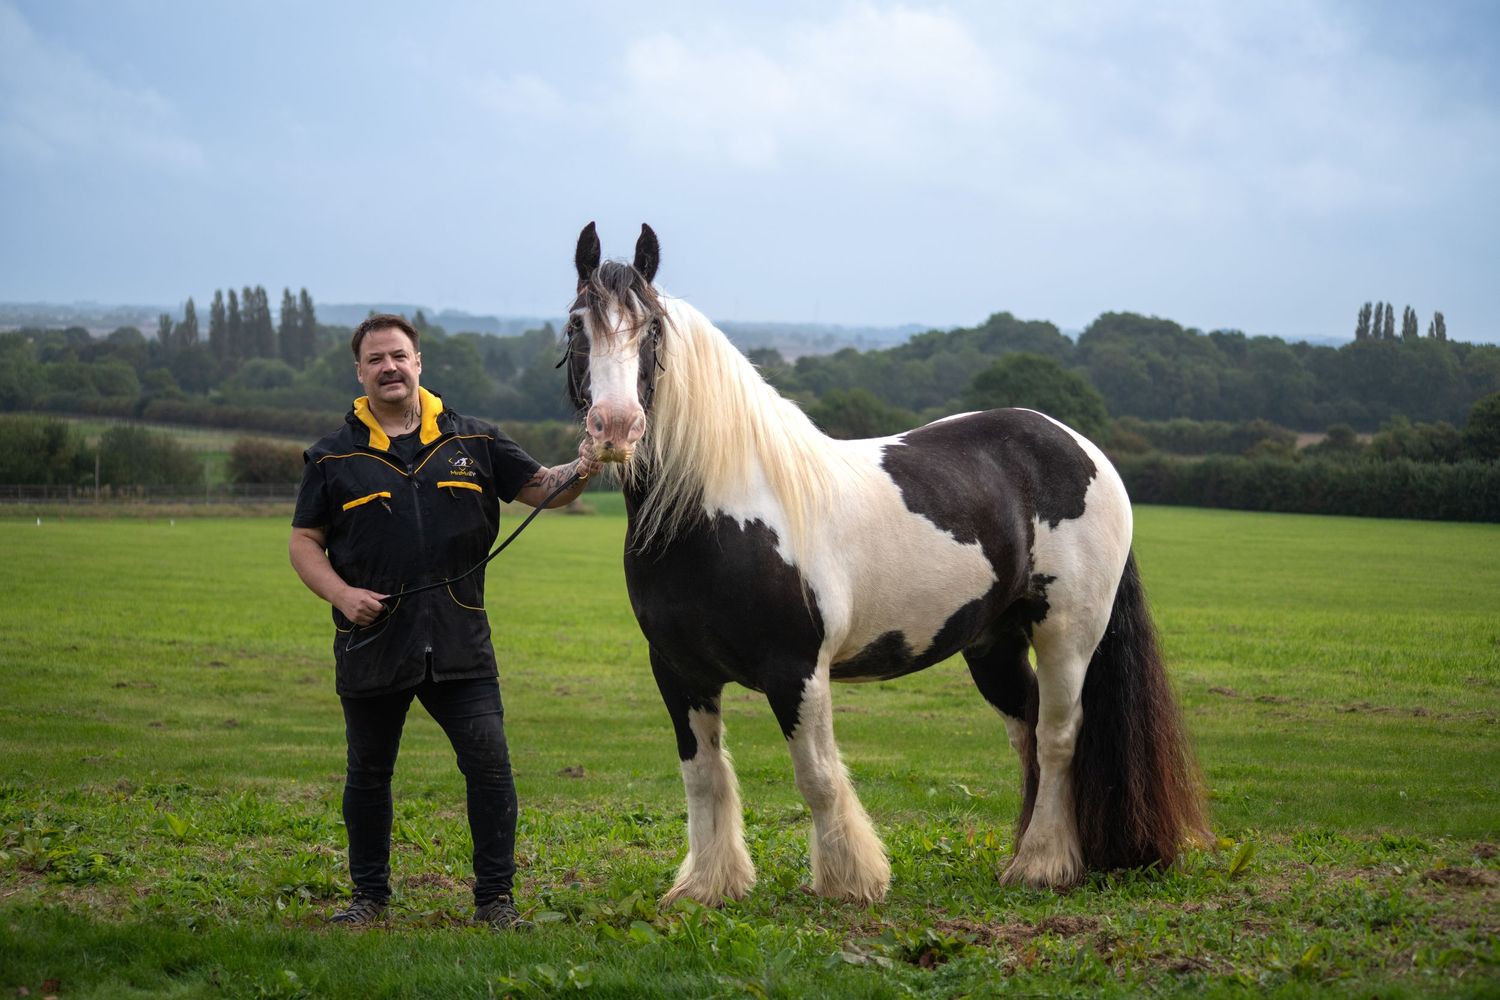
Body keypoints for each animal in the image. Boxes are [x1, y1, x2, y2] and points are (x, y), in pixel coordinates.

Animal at [563, 222, 1208, 906]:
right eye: (577, 325)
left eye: (653, 330)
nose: (616, 427)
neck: (717, 514)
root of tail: (1083, 448)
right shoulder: (679, 672)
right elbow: (704, 776)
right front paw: (710, 885)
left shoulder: (796, 669)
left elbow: (818, 776)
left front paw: (849, 880)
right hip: (993, 644)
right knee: (1028, 732)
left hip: (1067, 633)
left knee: (1059, 737)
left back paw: (1040, 866)